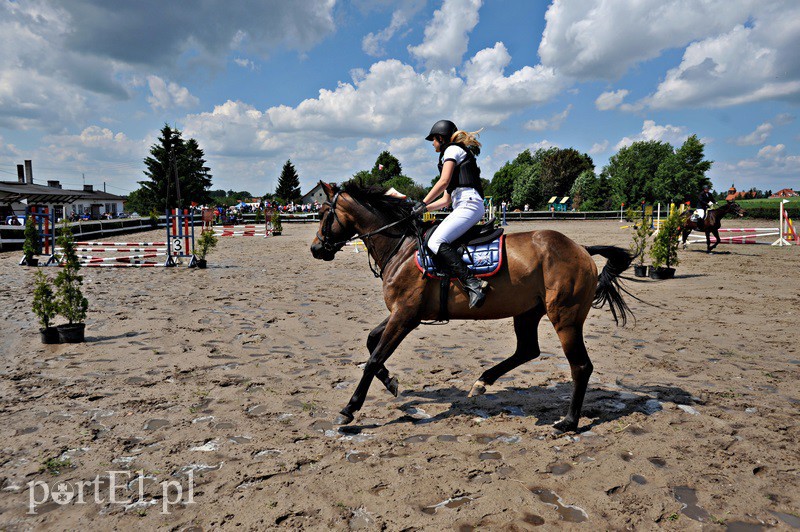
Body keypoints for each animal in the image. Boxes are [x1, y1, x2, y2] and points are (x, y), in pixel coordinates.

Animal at [310, 183, 636, 432]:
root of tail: (581, 248)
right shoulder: (402, 313)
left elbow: (374, 358)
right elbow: (371, 342)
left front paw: (349, 409)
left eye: (325, 214)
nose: (315, 248)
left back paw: (568, 422)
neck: (401, 248)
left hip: (565, 317)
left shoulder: (405, 316)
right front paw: (391, 382)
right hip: (527, 312)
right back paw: (482, 382)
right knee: (527, 350)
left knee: (580, 365)